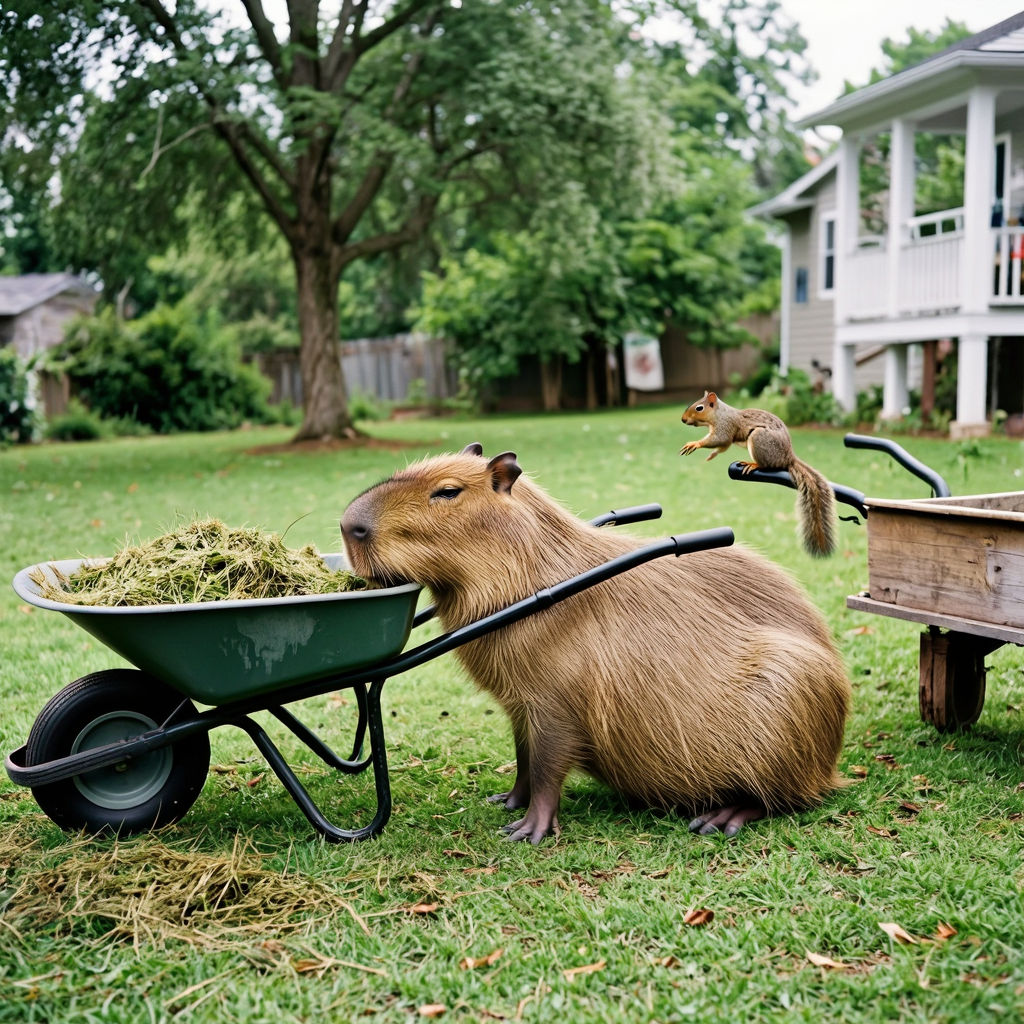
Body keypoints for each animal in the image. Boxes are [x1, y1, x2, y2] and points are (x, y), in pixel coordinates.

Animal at [680, 391, 837, 558]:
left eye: (699, 408)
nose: (683, 419)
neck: (718, 414)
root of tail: (788, 457)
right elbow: (722, 447)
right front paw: (711, 455)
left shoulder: (724, 427)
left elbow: (719, 440)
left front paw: (695, 444)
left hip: (758, 439)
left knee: (766, 465)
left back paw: (752, 464)